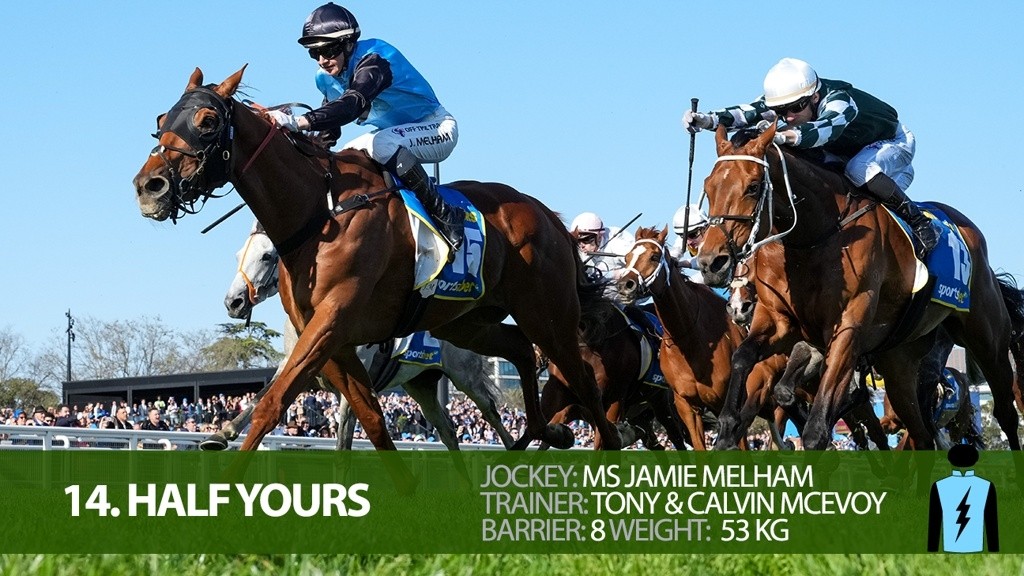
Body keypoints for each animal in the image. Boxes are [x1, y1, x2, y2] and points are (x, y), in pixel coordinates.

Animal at [222, 221, 514, 449]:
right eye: (238, 256)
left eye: (266, 256)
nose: (233, 302)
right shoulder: (297, 368)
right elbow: (260, 397)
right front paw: (224, 432)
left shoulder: (347, 386)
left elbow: (344, 442)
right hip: (421, 384)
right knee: (447, 430)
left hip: (466, 378)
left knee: (493, 416)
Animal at [695, 122, 1024, 450]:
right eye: (708, 187)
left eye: (752, 186)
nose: (711, 262)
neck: (814, 235)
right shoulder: (780, 321)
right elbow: (743, 356)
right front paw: (727, 427)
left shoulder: (847, 330)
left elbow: (817, 430)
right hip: (900, 361)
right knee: (921, 433)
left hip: (987, 340)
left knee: (1006, 412)